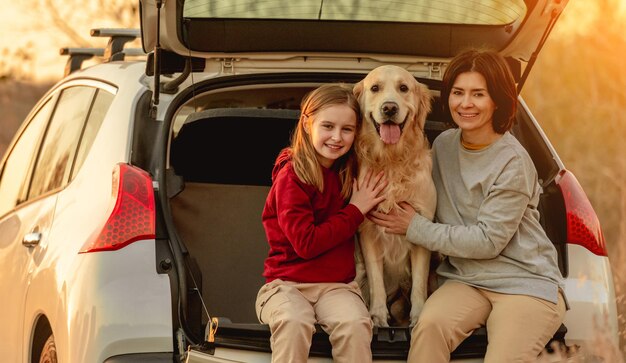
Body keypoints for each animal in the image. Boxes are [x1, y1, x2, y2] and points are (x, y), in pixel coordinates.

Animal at [352, 64, 434, 328]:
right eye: (375, 88)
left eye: (404, 88)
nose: (389, 108)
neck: (391, 160)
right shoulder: (367, 230)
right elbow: (376, 280)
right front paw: (377, 316)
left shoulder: (421, 225)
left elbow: (419, 285)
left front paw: (418, 316)